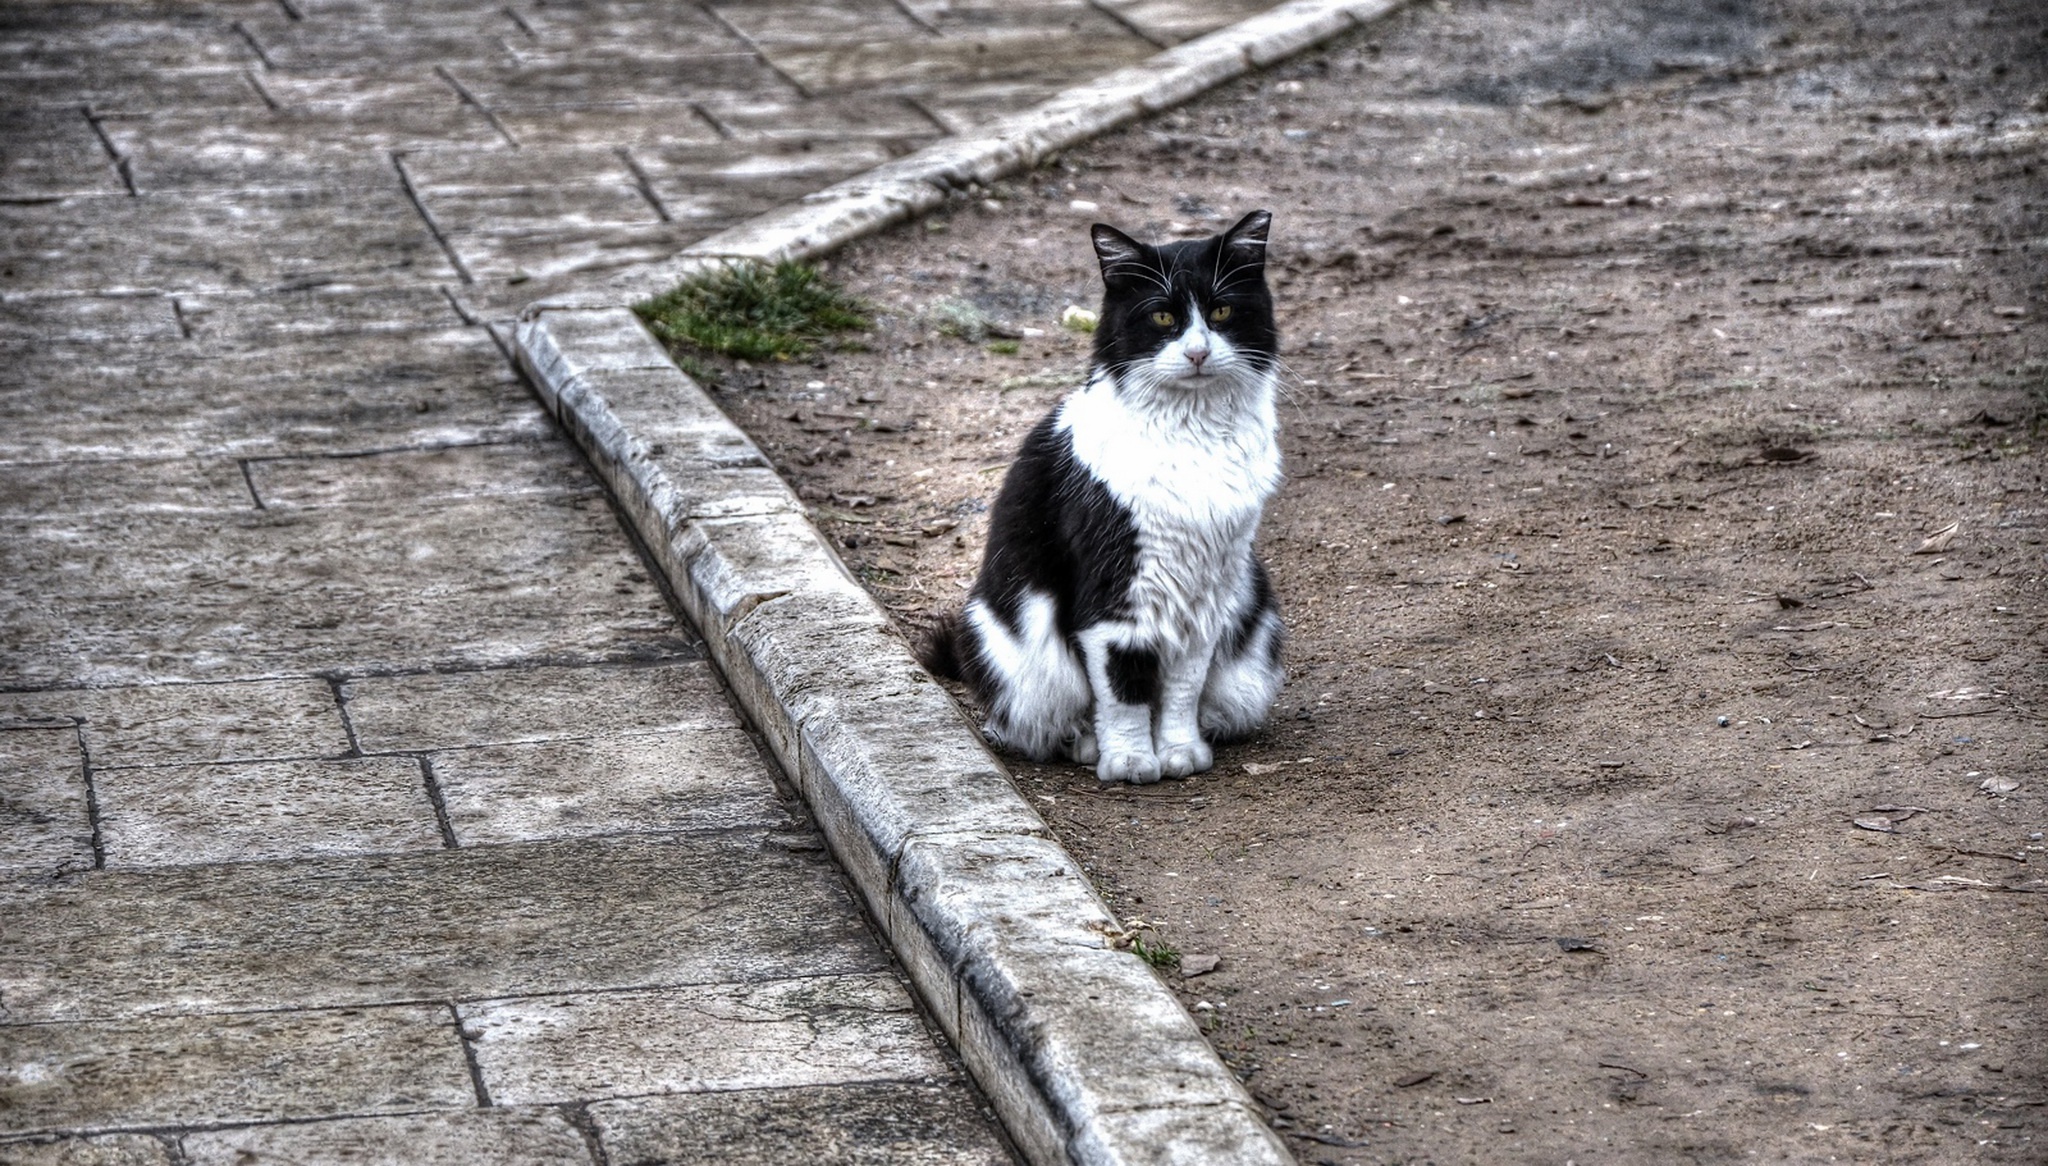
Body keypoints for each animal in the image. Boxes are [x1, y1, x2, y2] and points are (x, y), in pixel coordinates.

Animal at [925, 214, 1277, 786]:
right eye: (1162, 316)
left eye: (1222, 311)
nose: (1198, 352)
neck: (1193, 433)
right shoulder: (1115, 595)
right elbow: (1122, 689)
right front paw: (1131, 761)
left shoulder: (1204, 598)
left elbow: (1182, 688)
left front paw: (1179, 752)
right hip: (1012, 644)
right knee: (1047, 716)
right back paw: (1087, 745)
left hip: (1250, 605)